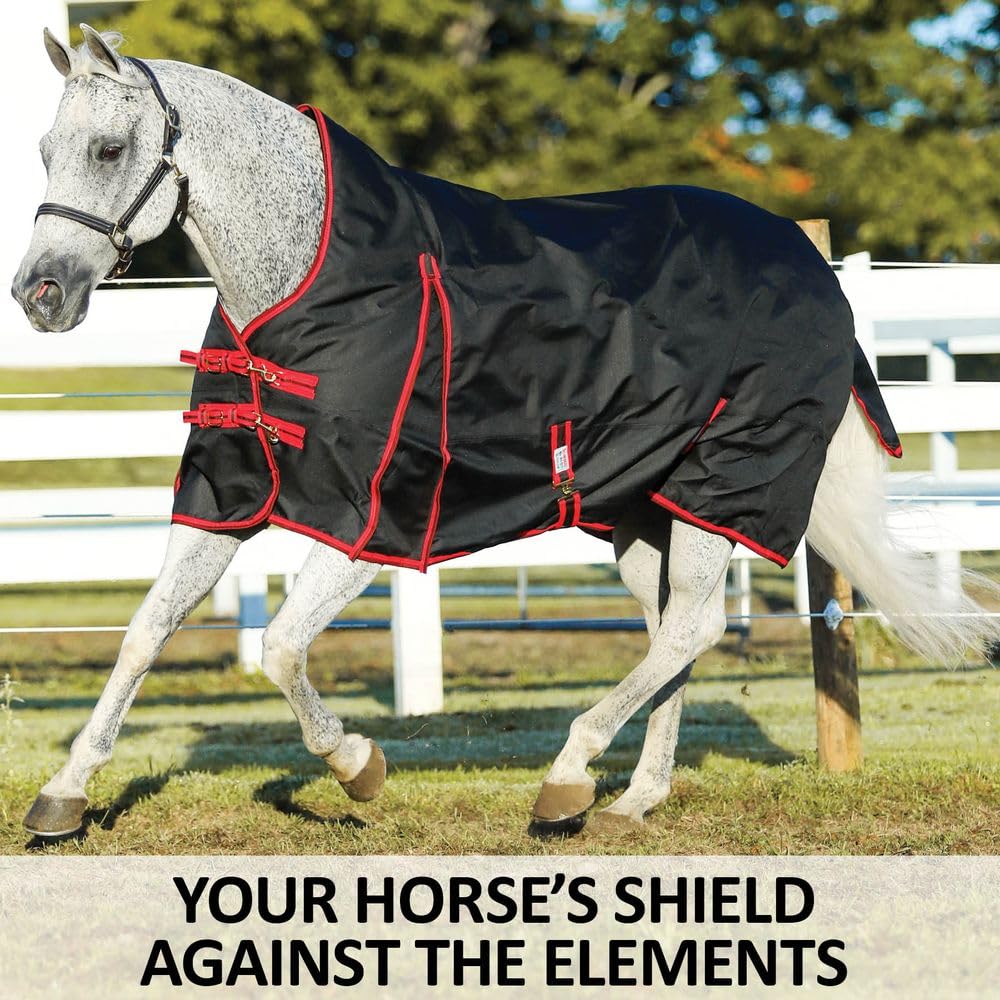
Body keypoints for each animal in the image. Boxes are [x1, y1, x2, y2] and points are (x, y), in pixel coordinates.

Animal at [12, 26, 998, 840]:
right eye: (46, 150)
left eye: (108, 148)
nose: (40, 294)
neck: (307, 278)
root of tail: (815, 266)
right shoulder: (227, 498)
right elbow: (145, 631)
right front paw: (64, 795)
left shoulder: (367, 523)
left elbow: (284, 646)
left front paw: (359, 767)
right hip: (638, 513)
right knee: (671, 631)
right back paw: (633, 797)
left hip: (725, 488)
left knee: (692, 628)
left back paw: (568, 775)